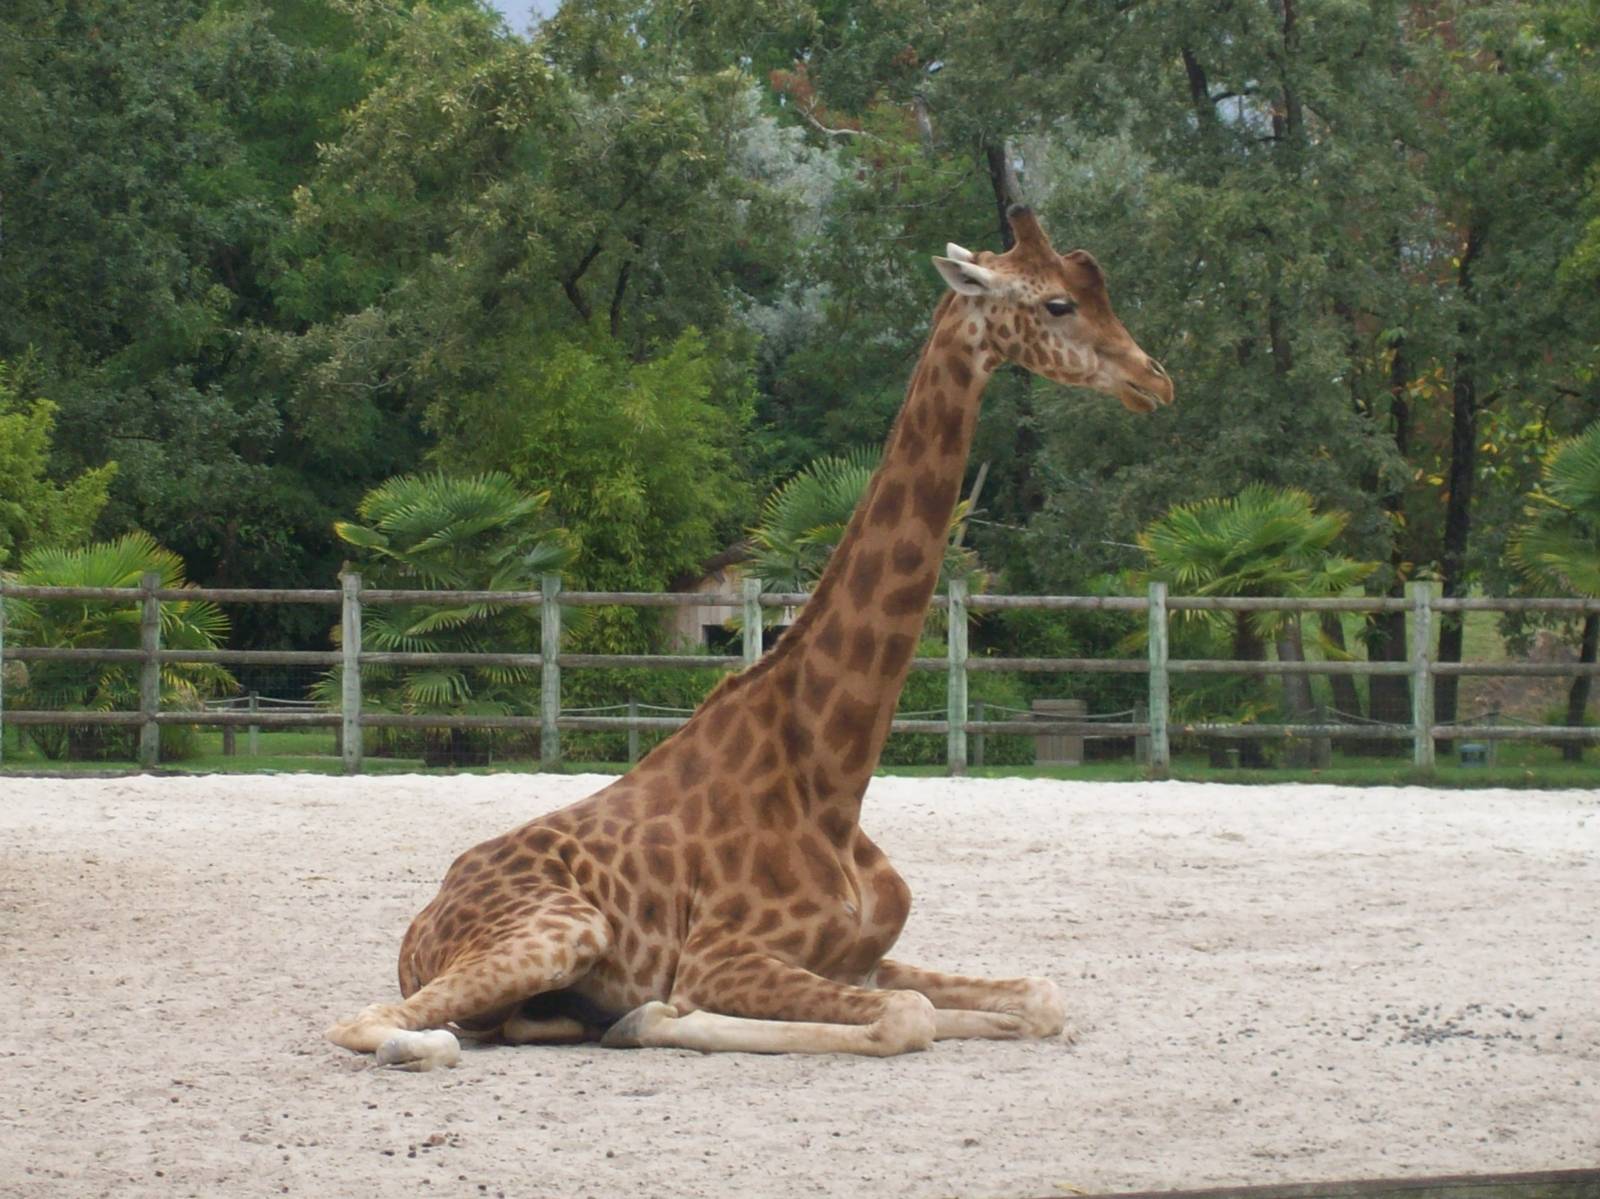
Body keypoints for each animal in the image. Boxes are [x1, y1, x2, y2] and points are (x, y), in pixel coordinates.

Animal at [326, 205, 1173, 1070]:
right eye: (1058, 304)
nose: (1154, 379)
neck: (833, 779)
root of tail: (419, 925)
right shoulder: (721, 955)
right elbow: (907, 1017)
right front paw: (653, 1015)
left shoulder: (864, 955)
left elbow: (1034, 996)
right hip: (566, 927)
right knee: (382, 1023)